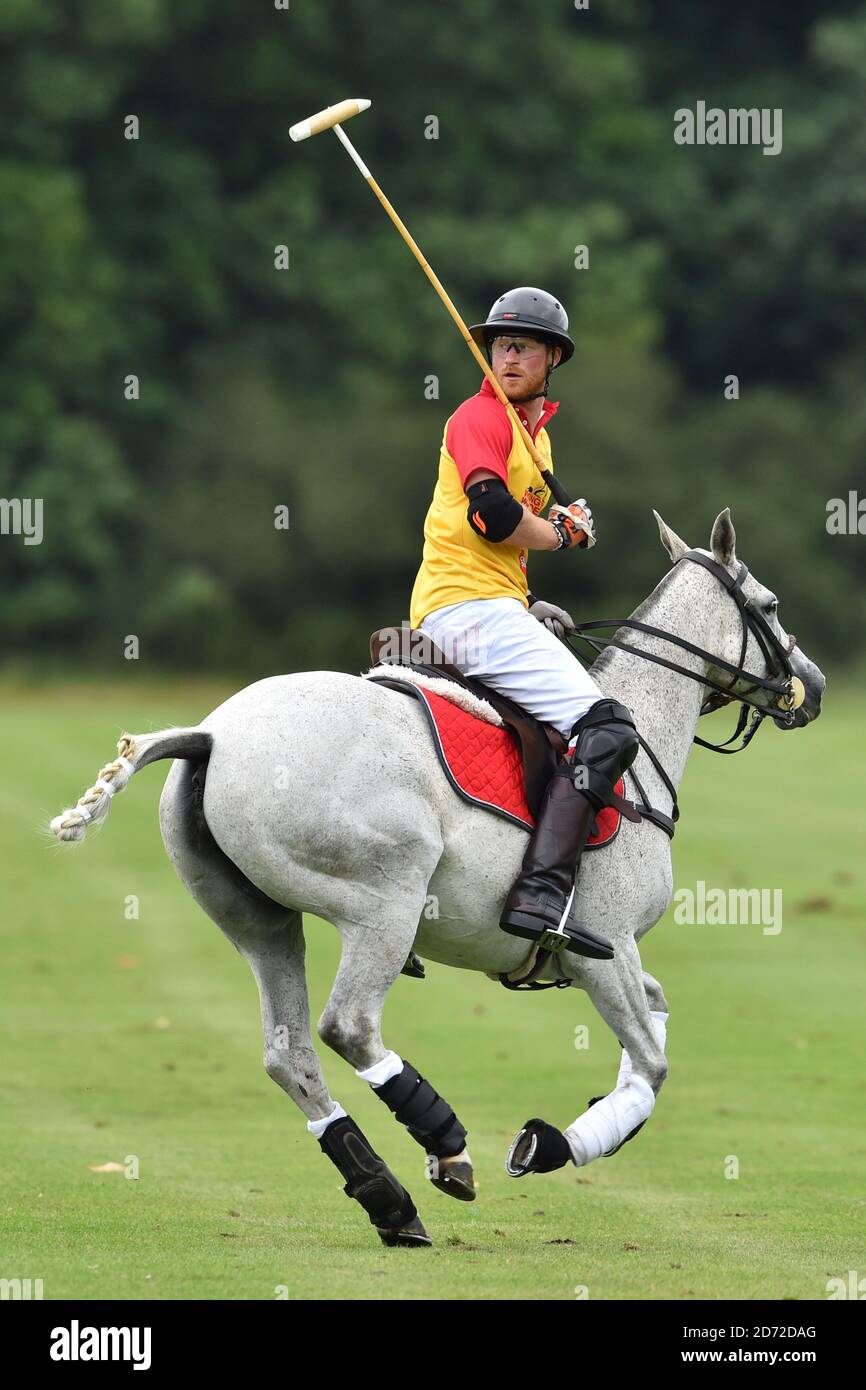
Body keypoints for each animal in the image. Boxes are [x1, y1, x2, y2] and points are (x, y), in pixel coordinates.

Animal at [48, 514, 828, 1251]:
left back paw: (390, 1203)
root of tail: (212, 735)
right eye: (769, 604)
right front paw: (545, 1145)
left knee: (289, 1055)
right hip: (384, 904)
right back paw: (445, 1145)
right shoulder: (602, 946)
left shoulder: (590, 955)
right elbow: (654, 1063)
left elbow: (653, 1035)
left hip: (260, 924)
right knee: (348, 1027)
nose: (814, 688)